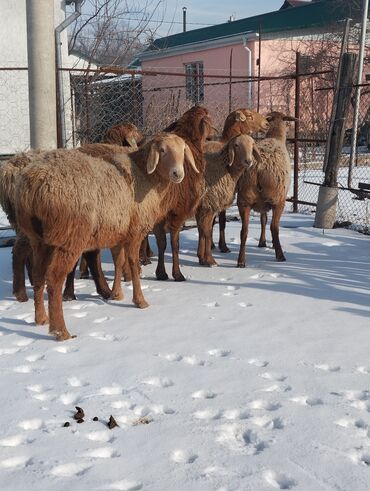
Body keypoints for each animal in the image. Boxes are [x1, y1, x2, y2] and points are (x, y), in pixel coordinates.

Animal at [14, 135, 197, 342]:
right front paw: (140, 301)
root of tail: (34, 183)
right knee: (53, 280)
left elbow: (119, 261)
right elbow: (133, 264)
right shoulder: (136, 232)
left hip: (38, 239)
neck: (145, 177)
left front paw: (116, 295)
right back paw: (61, 331)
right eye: (163, 150)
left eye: (183, 150)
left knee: (37, 275)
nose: (177, 174)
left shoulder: (118, 232)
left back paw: (41, 319)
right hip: (69, 238)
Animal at [195, 133, 262, 268]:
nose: (248, 161)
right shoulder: (209, 204)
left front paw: (201, 258)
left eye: (252, 144)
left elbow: (203, 230)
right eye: (236, 145)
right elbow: (207, 232)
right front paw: (210, 260)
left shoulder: (204, 207)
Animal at [202, 109, 268, 254]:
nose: (267, 123)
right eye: (249, 116)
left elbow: (220, 221)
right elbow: (221, 221)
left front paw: (219, 245)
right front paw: (222, 246)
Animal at [237, 112, 298, 270]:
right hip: (278, 198)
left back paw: (241, 261)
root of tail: (258, 166)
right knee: (274, 227)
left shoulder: (261, 204)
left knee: (244, 231)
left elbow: (262, 220)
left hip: (244, 199)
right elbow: (268, 223)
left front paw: (261, 242)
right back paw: (280, 255)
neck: (276, 136)